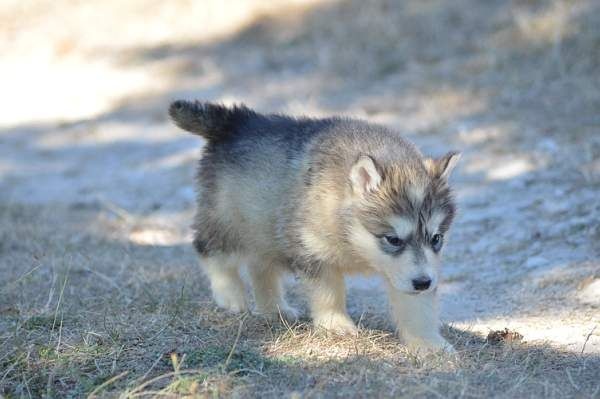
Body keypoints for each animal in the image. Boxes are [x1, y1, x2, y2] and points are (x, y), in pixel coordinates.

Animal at [171, 101, 462, 354]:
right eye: (393, 239)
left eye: (436, 238)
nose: (423, 282)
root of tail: (237, 120)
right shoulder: (313, 250)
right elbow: (328, 291)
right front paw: (336, 325)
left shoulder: (413, 270)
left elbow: (417, 307)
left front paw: (428, 343)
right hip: (226, 218)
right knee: (211, 250)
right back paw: (229, 295)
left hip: (266, 227)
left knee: (259, 266)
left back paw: (275, 308)